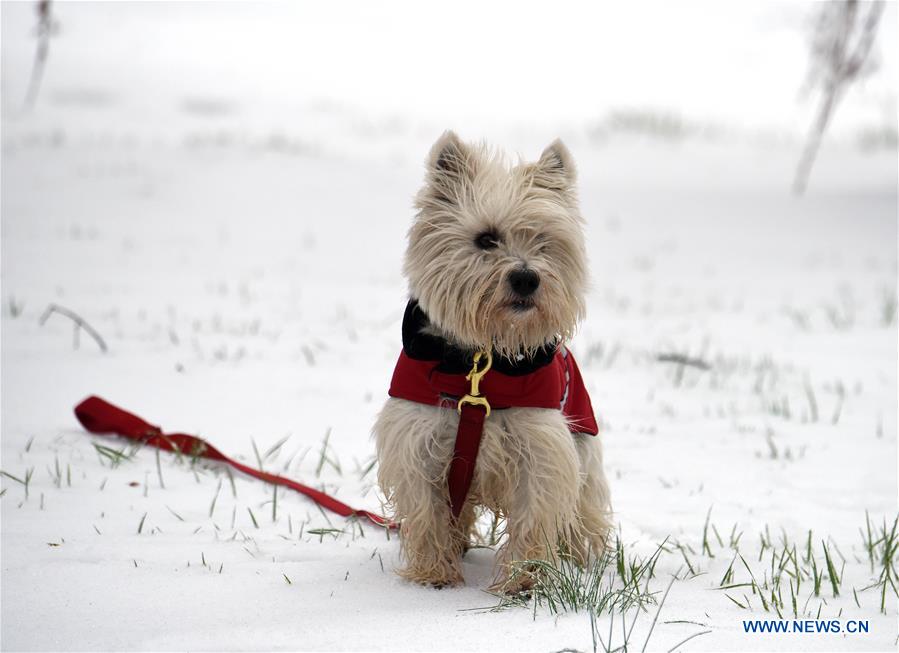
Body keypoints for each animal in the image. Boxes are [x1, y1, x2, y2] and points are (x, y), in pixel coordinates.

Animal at [370, 132, 612, 592]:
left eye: (543, 241)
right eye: (485, 239)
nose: (527, 278)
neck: (482, 362)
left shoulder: (540, 446)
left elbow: (535, 514)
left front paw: (523, 580)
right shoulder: (420, 443)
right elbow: (428, 514)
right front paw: (434, 575)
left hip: (583, 446)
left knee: (583, 509)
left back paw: (580, 559)